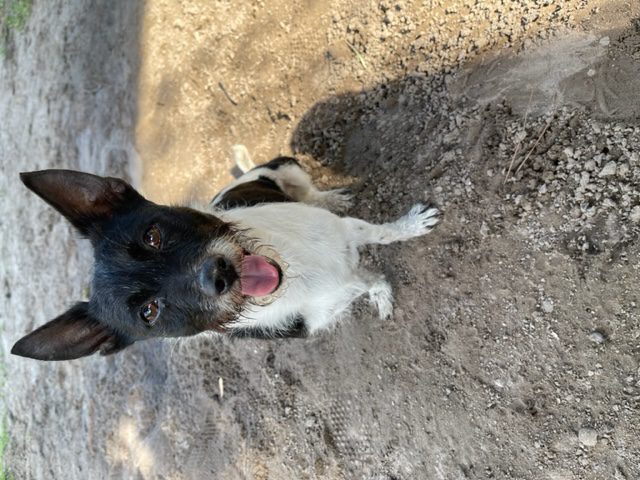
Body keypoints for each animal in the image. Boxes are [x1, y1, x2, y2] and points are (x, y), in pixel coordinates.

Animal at [11, 147, 440, 360]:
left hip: (287, 168)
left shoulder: (344, 231)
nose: (217, 275)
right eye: (148, 313)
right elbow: (367, 281)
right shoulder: (329, 304)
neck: (295, 273)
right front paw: (380, 292)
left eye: (153, 236)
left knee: (309, 190)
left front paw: (411, 226)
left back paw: (328, 196)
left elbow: (384, 234)